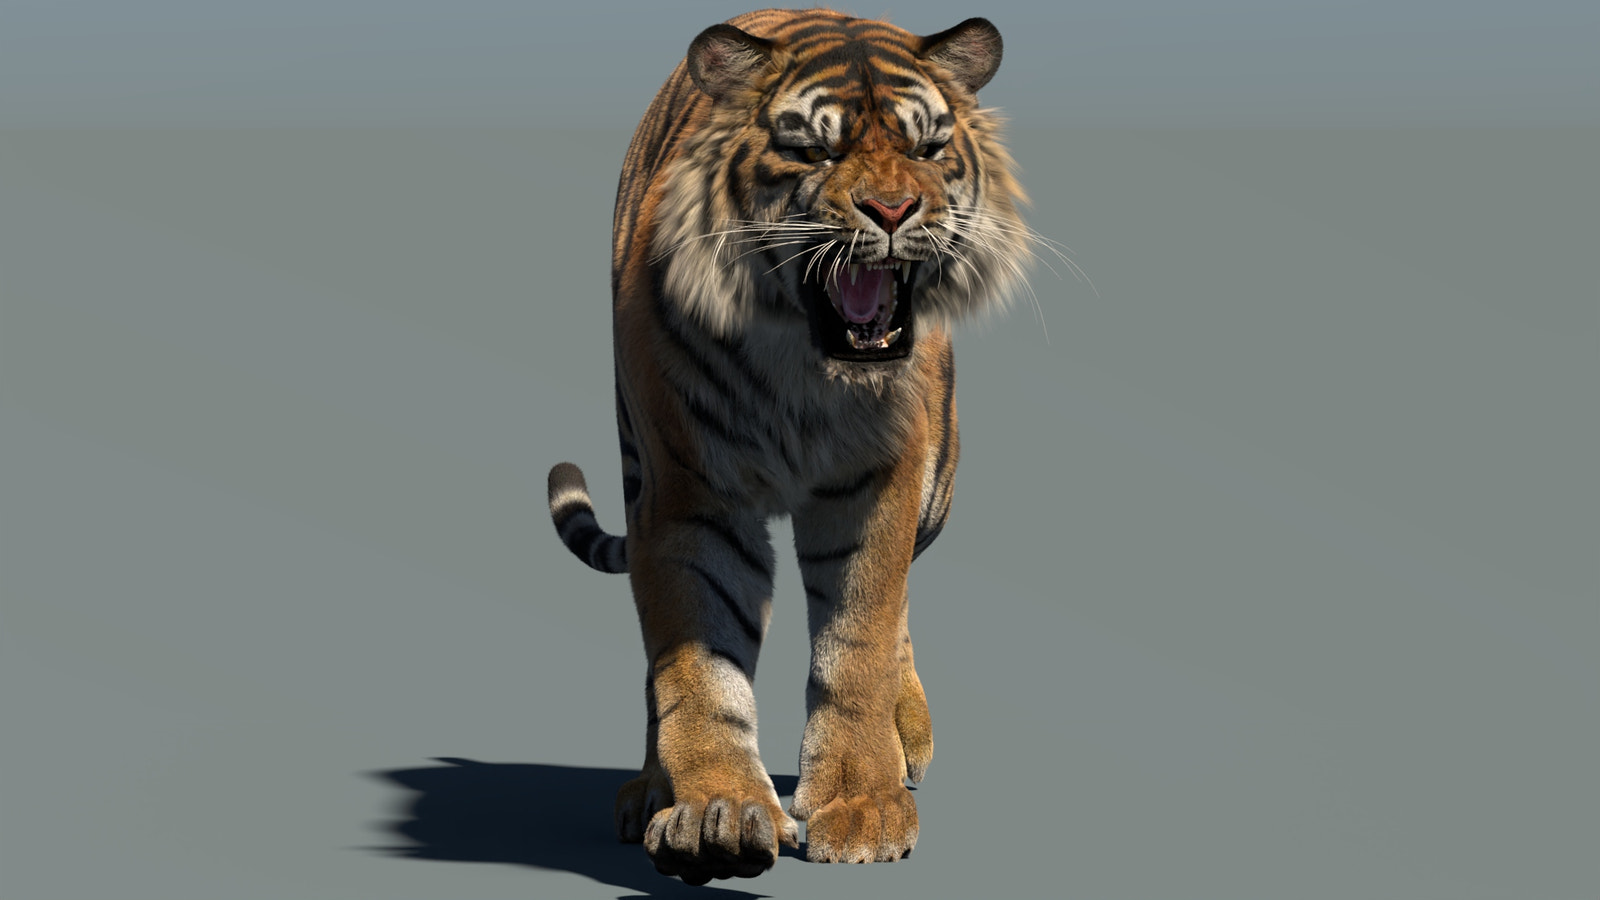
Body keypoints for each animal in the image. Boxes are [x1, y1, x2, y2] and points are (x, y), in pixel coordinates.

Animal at [546, 8, 1032, 884]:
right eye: (815, 151)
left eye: (926, 148)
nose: (892, 210)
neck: (803, 368)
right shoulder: (687, 494)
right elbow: (698, 667)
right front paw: (716, 812)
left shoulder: (879, 483)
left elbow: (861, 641)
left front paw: (862, 806)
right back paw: (649, 788)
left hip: (937, 484)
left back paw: (909, 740)